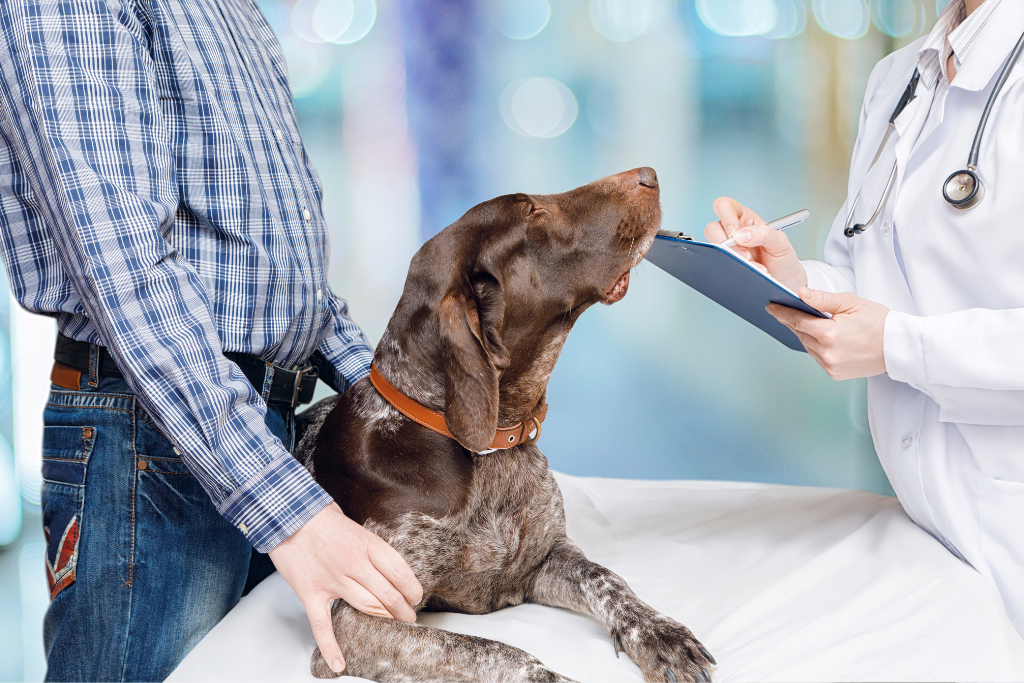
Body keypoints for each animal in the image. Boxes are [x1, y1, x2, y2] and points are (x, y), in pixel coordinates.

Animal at [292, 166, 716, 683]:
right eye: (534, 212)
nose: (649, 174)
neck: (489, 449)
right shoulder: (352, 619)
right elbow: (484, 649)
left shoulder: (544, 559)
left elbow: (606, 578)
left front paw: (658, 632)